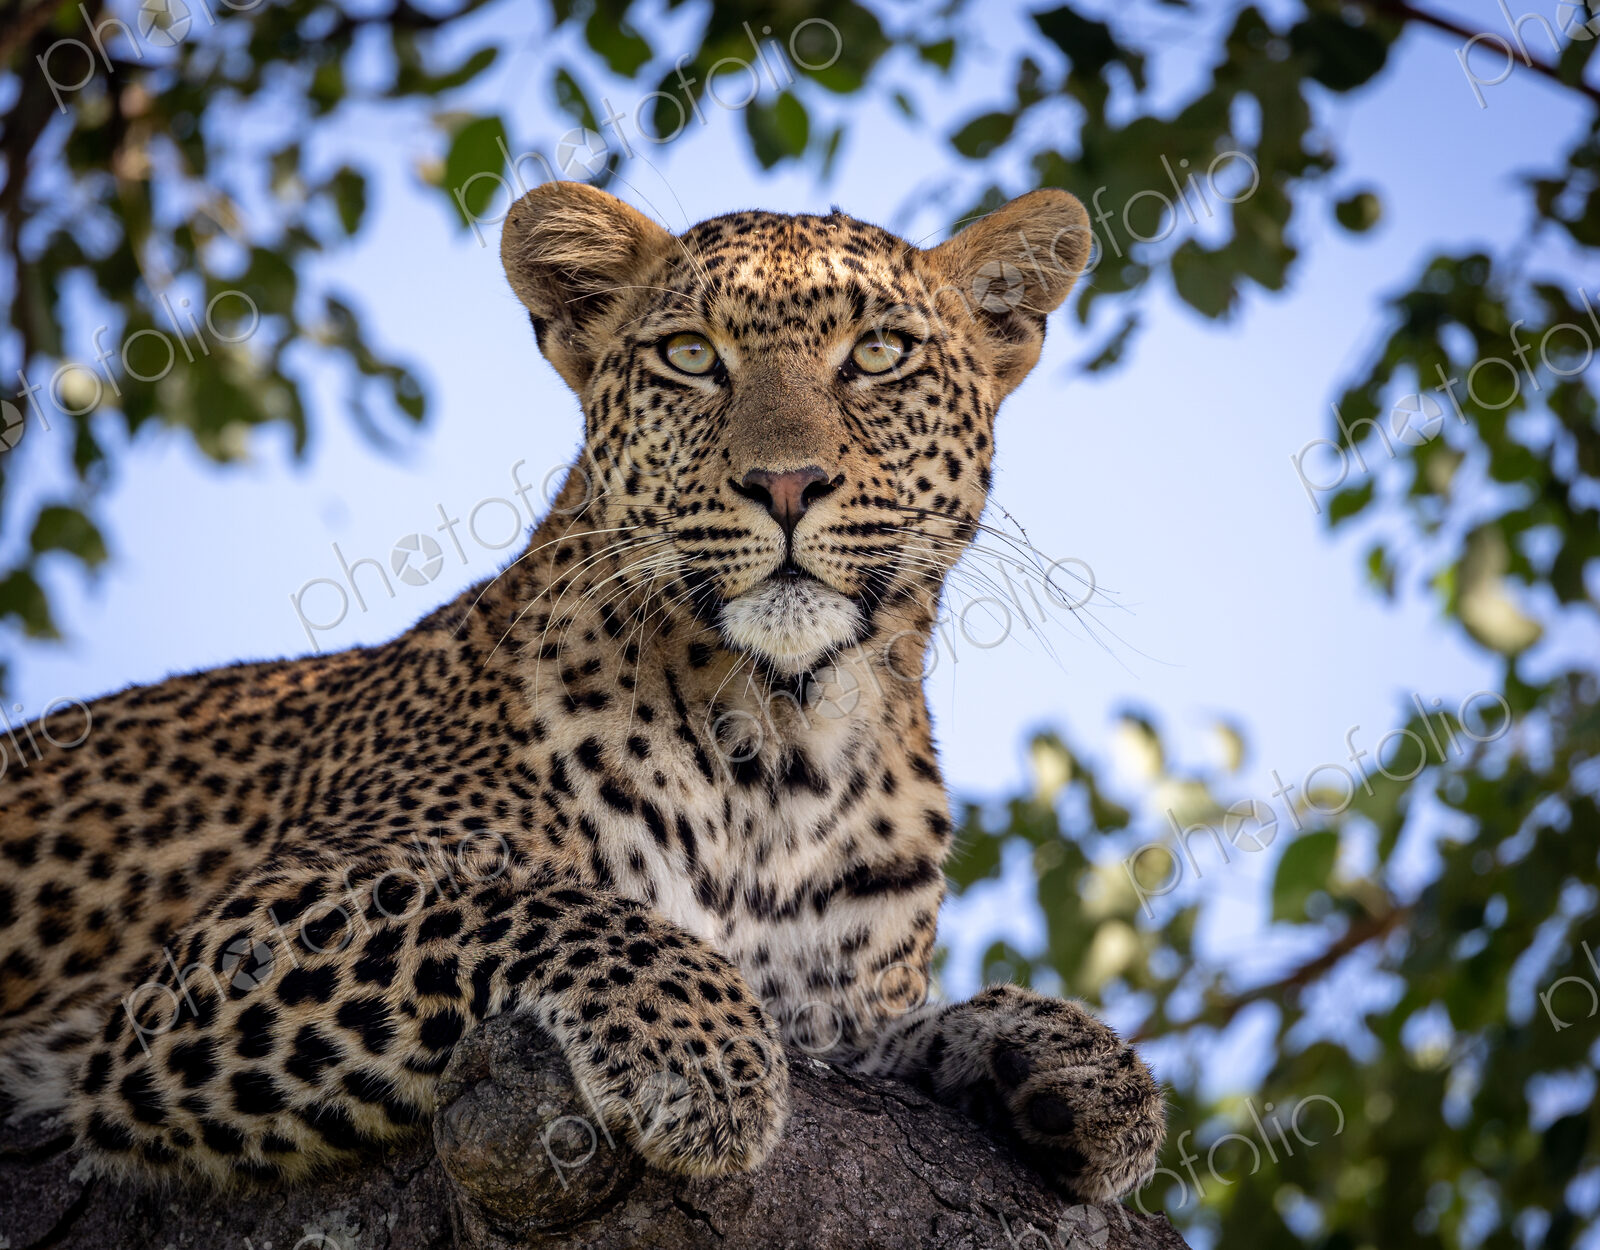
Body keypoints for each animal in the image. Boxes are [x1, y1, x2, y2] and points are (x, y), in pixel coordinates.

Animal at [0, 181, 1165, 1206]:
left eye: (879, 353)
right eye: (691, 356)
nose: (785, 483)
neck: (789, 746)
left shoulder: (838, 1014)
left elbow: (899, 1030)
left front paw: (1074, 1063)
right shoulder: (212, 966)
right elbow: (516, 899)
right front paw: (704, 1051)